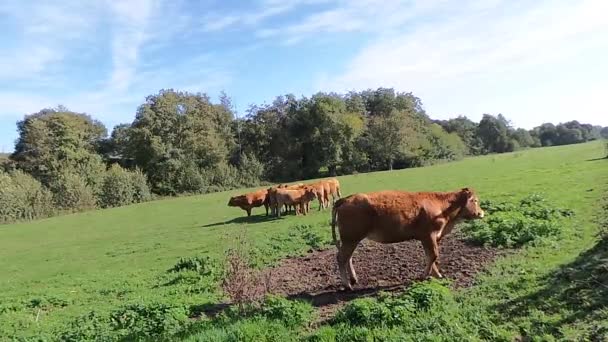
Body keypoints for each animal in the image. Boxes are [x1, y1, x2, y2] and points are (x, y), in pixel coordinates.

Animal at [330, 188, 486, 290]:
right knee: (341, 258)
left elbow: (430, 256)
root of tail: (346, 199)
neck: (442, 207)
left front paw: (436, 275)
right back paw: (347, 285)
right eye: (475, 200)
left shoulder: (426, 238)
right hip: (350, 239)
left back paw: (353, 279)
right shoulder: (429, 235)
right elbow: (434, 255)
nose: (481, 213)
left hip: (351, 240)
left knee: (348, 257)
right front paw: (424, 276)